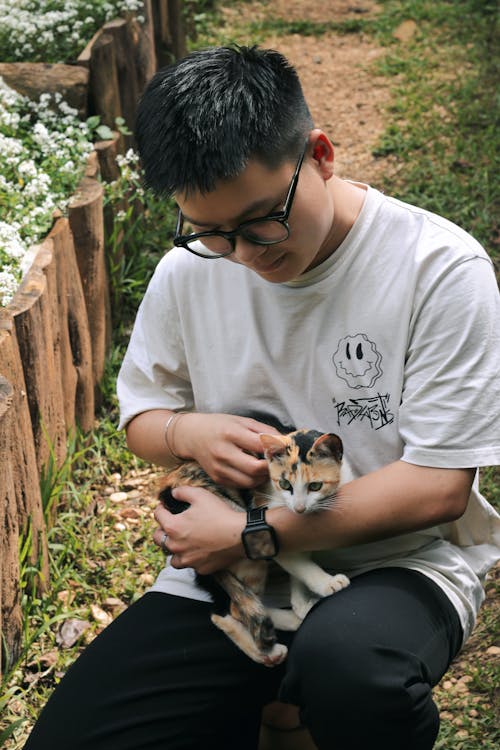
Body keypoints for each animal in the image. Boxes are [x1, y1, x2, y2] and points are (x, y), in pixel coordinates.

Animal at [158, 432, 350, 668]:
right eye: (285, 484)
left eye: (315, 486)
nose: (299, 508)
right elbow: (301, 566)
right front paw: (327, 584)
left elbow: (299, 569)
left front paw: (301, 604)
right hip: (242, 546)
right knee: (230, 610)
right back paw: (273, 643)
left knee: (222, 608)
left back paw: (285, 629)